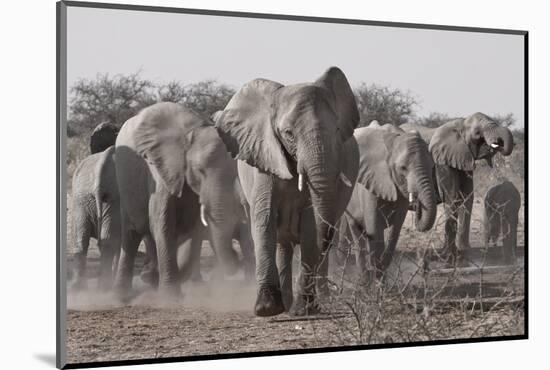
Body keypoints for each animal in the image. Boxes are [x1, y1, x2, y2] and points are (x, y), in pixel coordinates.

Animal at [113, 102, 240, 298]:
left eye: (234, 173)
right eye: (200, 170)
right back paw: (123, 294)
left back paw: (150, 277)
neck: (190, 134)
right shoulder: (161, 173)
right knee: (132, 233)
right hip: (124, 180)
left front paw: (161, 282)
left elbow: (194, 229)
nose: (236, 256)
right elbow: (162, 222)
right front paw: (170, 296)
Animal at [216, 66, 362, 316]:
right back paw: (284, 303)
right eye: (288, 133)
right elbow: (264, 218)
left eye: (337, 129)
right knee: (282, 242)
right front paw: (267, 309)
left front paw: (304, 309)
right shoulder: (264, 158)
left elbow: (311, 225)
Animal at [336, 124, 440, 278]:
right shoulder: (370, 181)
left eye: (432, 166)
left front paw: (381, 275)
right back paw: (363, 278)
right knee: (357, 230)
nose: (418, 203)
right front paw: (376, 279)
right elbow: (374, 228)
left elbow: (395, 229)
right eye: (403, 168)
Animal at [402, 112, 516, 260]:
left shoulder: (463, 160)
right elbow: (452, 197)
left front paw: (464, 250)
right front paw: (449, 254)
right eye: (477, 133)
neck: (461, 124)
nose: (497, 143)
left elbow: (467, 197)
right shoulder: (442, 162)